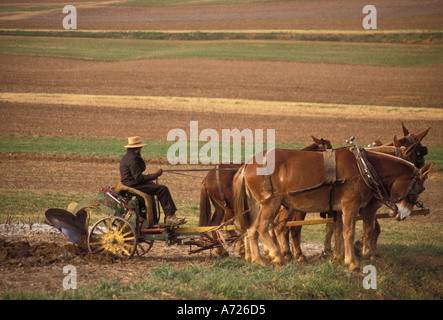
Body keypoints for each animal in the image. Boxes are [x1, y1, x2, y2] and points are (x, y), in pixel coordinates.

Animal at [236, 148, 434, 270]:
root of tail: (248, 164)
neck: (363, 168)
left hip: (261, 205)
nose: (403, 215)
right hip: (272, 202)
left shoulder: (340, 209)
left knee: (252, 230)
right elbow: (350, 232)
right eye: (419, 189)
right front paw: (352, 262)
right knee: (262, 227)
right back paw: (276, 255)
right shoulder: (351, 206)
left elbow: (339, 231)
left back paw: (258, 259)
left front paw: (341, 258)